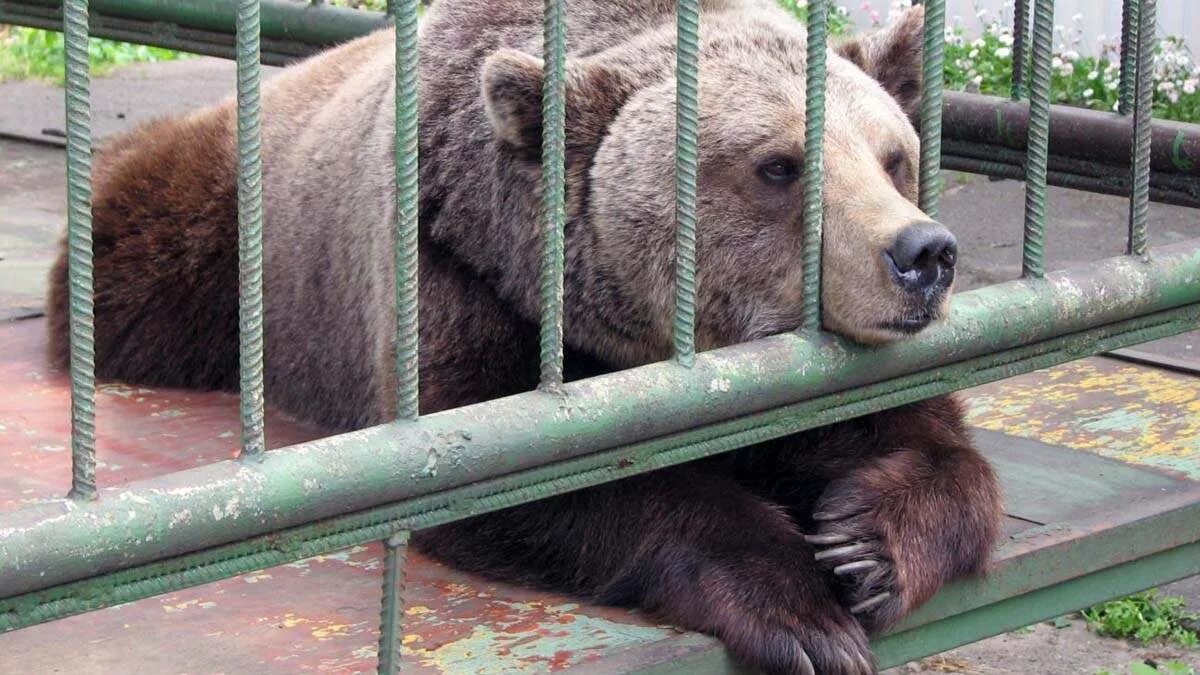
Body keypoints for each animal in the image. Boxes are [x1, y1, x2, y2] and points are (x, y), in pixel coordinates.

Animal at [46, 1, 1004, 673]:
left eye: (892, 156)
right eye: (778, 166)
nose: (923, 253)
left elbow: (922, 437)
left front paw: (864, 545)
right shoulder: (457, 275)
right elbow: (528, 483)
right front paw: (801, 612)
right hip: (213, 242)